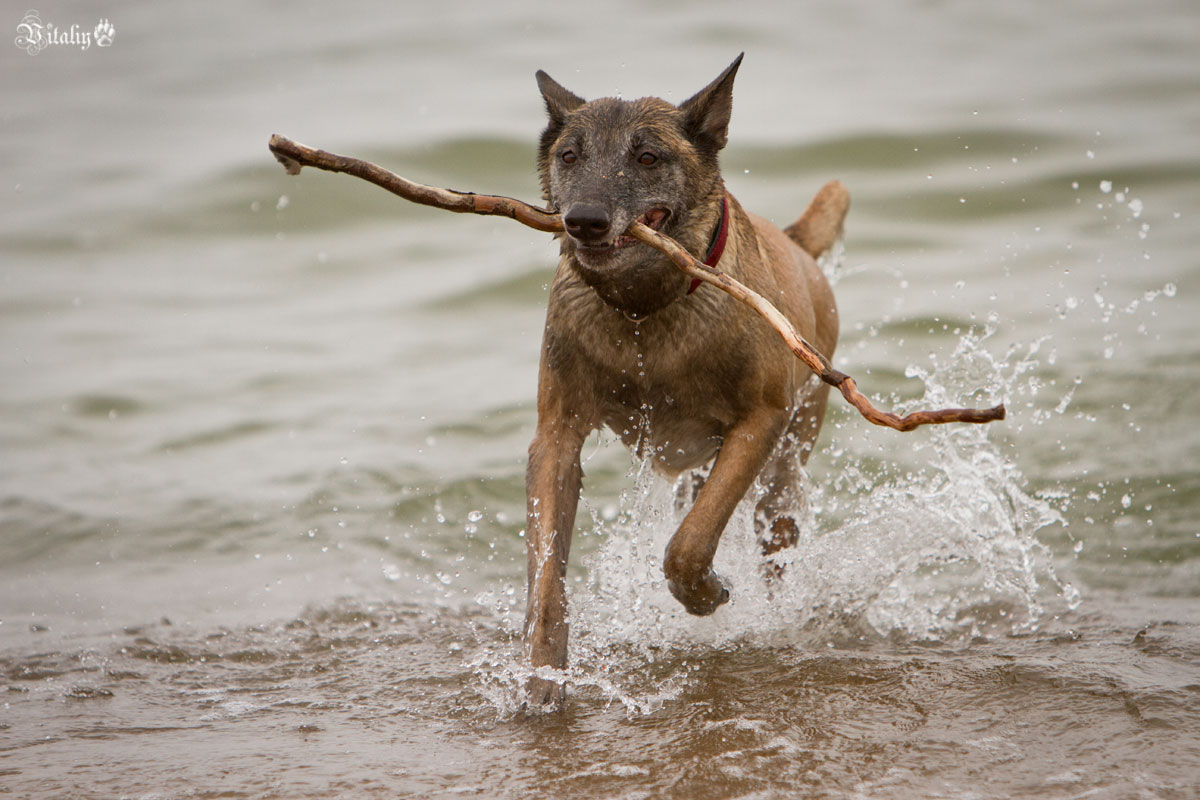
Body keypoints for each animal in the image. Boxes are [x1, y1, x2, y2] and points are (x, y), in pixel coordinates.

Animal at [523, 53, 844, 705]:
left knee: (772, 537)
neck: (644, 312)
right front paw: (543, 678)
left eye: (648, 157)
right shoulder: (557, 436)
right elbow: (547, 575)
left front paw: (704, 594)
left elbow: (688, 545)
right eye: (569, 156)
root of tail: (795, 243)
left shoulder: (760, 421)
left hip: (785, 471)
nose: (584, 221)